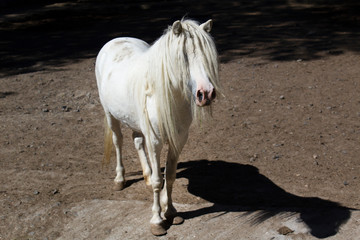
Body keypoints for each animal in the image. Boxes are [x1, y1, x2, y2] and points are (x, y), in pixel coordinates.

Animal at [95, 18, 219, 236]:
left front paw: (171, 212)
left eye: (207, 54)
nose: (206, 93)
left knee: (137, 141)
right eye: (183, 55)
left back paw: (145, 174)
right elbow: (157, 181)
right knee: (118, 142)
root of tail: (115, 40)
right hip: (111, 116)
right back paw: (120, 179)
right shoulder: (155, 142)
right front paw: (157, 221)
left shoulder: (178, 140)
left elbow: (168, 176)